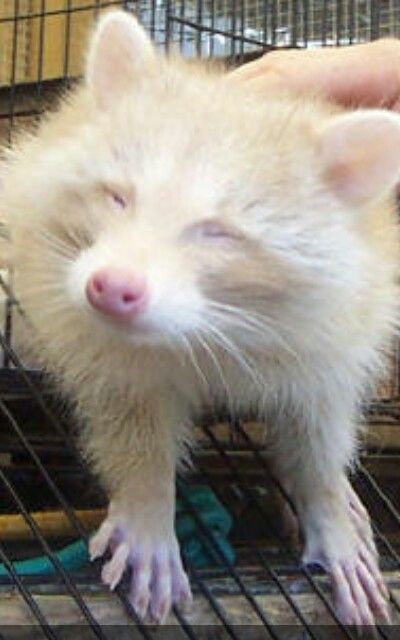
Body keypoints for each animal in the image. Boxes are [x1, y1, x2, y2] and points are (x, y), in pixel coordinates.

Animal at [1, 10, 398, 628]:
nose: (112, 288)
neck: (215, 324)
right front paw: (147, 500)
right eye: (118, 197)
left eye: (217, 231)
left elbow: (318, 422)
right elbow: (126, 408)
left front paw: (327, 501)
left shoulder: (343, 321)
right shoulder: (87, 324)